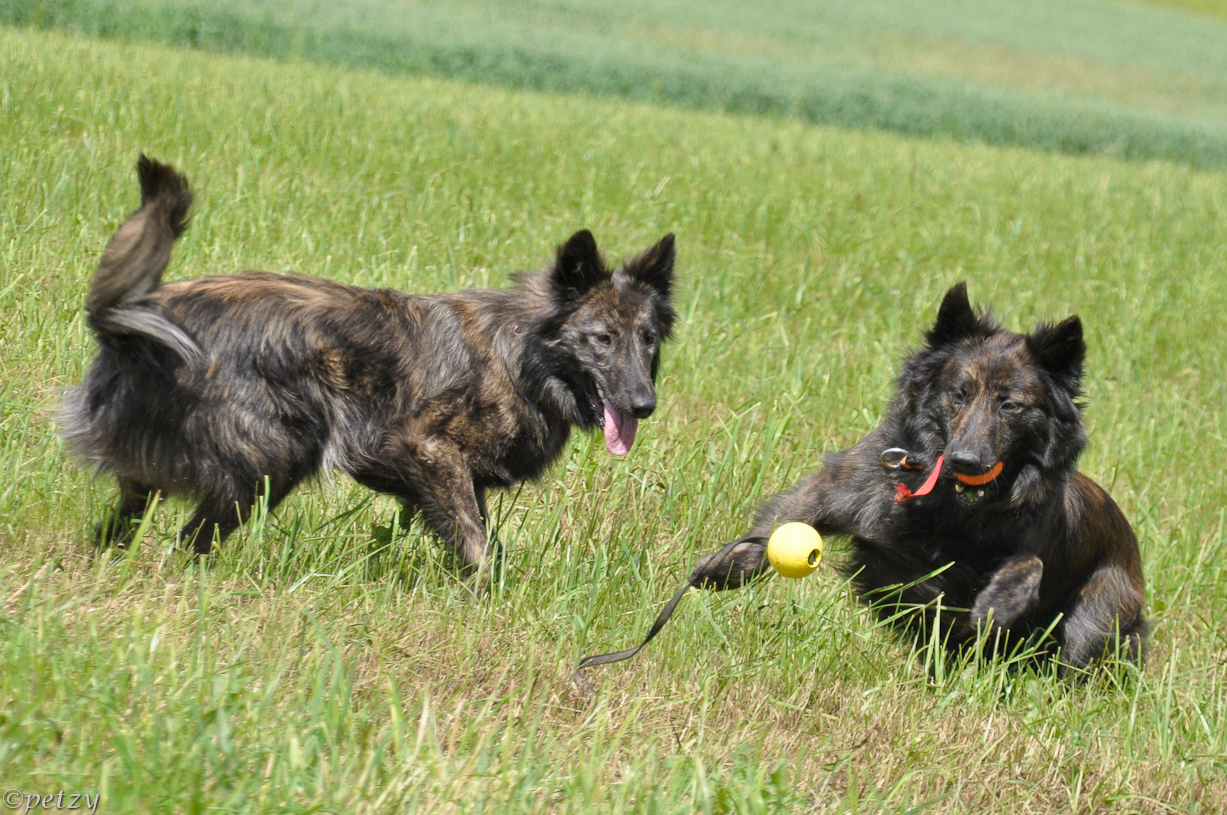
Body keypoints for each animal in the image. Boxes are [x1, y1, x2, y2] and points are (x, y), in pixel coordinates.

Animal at [62, 155, 677, 581]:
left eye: (647, 339)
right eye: (602, 339)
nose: (644, 405)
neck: (523, 356)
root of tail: (135, 318)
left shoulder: (460, 475)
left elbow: (479, 535)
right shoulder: (425, 447)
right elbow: (476, 543)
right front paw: (493, 598)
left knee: (128, 524)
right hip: (275, 455)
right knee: (190, 541)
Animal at [692, 283, 1148, 672]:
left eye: (1011, 406)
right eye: (959, 394)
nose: (966, 461)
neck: (948, 505)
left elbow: (1028, 564)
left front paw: (998, 602)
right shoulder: (841, 491)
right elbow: (782, 522)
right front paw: (725, 567)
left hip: (1096, 617)